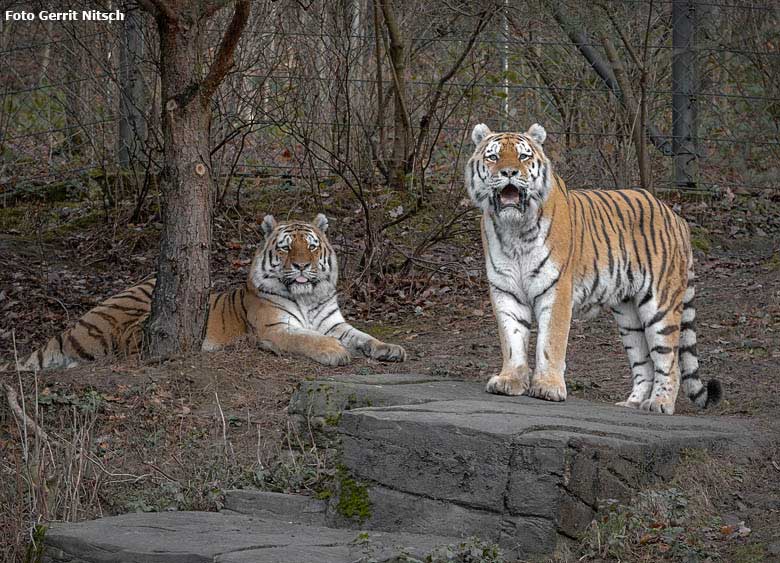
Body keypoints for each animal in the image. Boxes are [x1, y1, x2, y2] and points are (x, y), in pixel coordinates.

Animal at [3, 217, 408, 374]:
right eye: (285, 248)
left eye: (310, 246)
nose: (301, 266)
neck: (308, 297)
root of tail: (75, 325)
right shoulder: (275, 328)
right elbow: (308, 340)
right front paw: (335, 353)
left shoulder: (335, 323)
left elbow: (364, 336)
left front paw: (390, 349)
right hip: (134, 314)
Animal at [466, 122, 724, 414]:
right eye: (493, 157)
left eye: (523, 157)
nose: (509, 172)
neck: (514, 229)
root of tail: (677, 217)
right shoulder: (505, 290)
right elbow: (512, 339)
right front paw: (510, 380)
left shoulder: (556, 290)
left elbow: (550, 341)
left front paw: (547, 387)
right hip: (629, 316)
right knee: (644, 363)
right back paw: (632, 403)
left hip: (661, 305)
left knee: (669, 362)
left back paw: (659, 403)